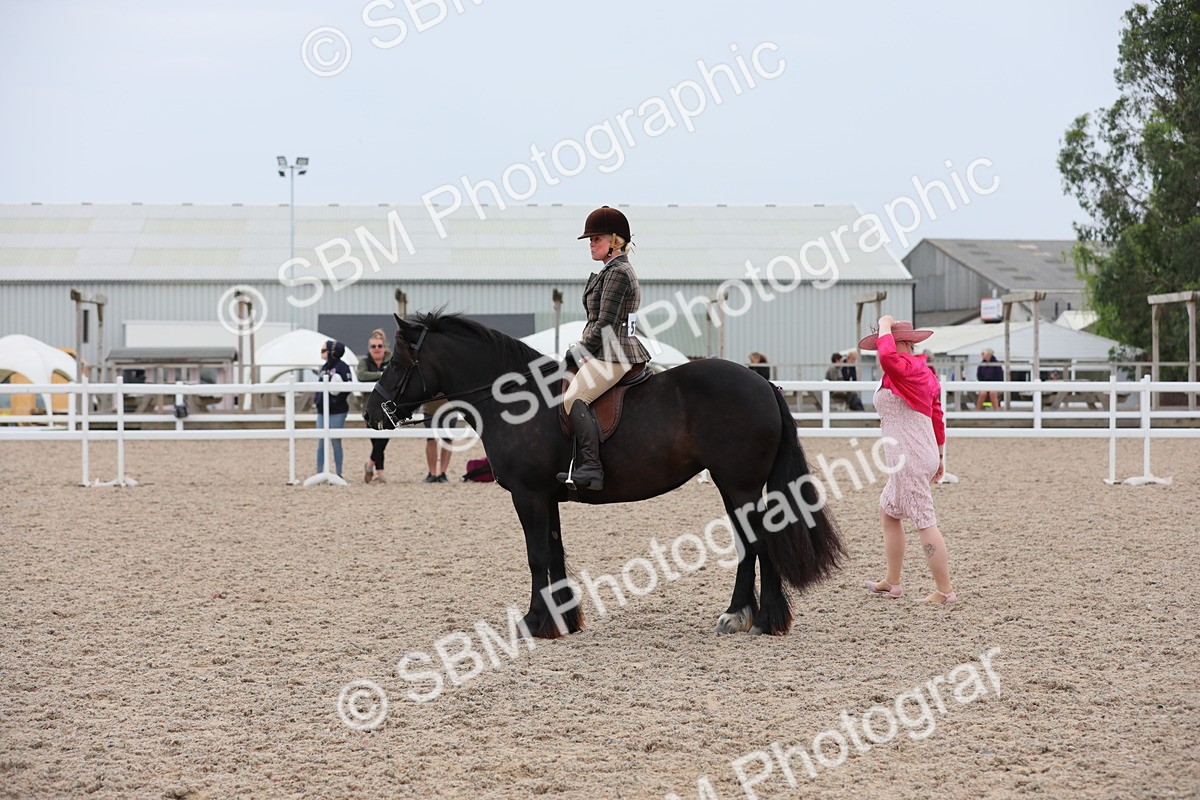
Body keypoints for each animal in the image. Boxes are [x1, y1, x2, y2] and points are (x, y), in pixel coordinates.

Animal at [363, 311, 845, 639]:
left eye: (395, 363)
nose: (371, 413)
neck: (516, 400)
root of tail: (762, 383)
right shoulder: (546, 496)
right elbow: (554, 553)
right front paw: (562, 619)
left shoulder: (528, 495)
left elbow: (537, 556)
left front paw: (534, 623)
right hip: (735, 486)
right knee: (753, 542)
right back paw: (749, 616)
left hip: (740, 484)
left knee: (759, 542)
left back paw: (755, 618)